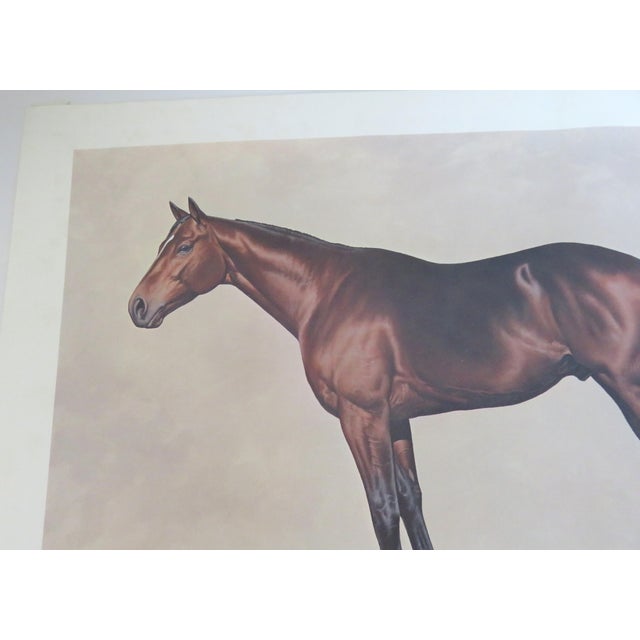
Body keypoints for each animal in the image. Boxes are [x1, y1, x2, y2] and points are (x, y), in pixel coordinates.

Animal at [129, 198, 640, 549]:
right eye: (163, 245)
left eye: (185, 247)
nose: (138, 306)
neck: (327, 292)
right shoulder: (396, 419)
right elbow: (411, 501)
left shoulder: (361, 416)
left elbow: (383, 509)